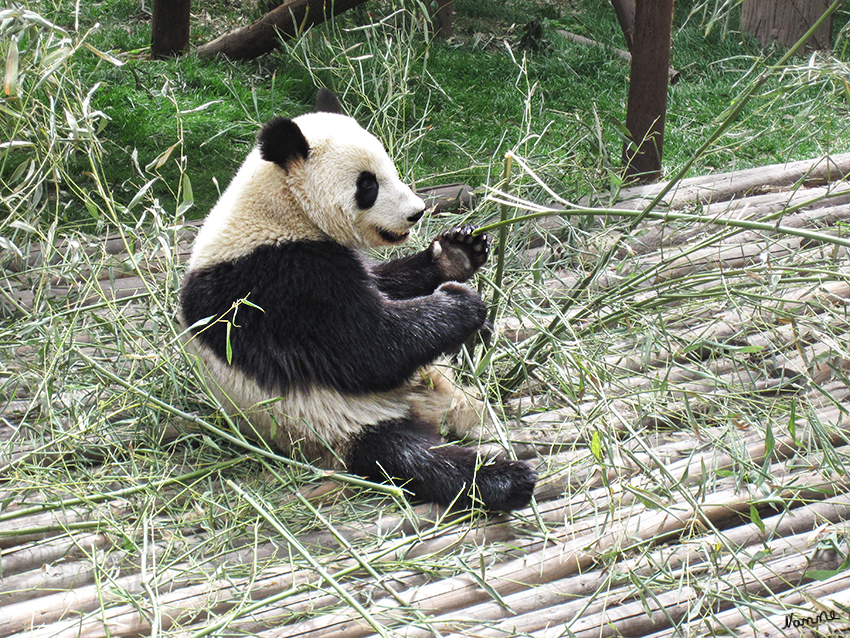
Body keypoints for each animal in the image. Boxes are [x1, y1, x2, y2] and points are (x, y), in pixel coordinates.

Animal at [179, 90, 532, 512]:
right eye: (368, 184)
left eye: (388, 167)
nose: (416, 213)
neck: (280, 209)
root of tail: (426, 411)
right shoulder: (276, 282)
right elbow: (368, 348)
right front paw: (461, 304)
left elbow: (384, 283)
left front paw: (456, 254)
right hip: (337, 424)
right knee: (412, 457)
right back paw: (504, 478)